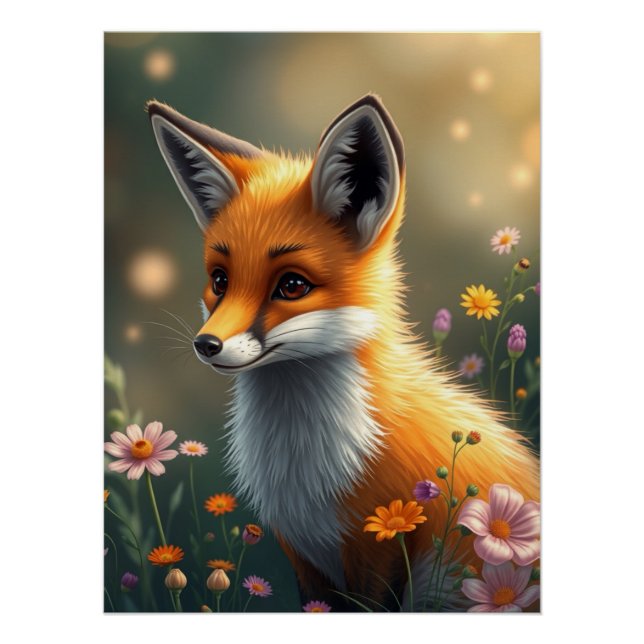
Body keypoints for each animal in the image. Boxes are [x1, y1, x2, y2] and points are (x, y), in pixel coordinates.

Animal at [147, 94, 540, 611]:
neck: (302, 466)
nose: (206, 345)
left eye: (292, 285)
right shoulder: (302, 552)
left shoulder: (385, 536)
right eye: (219, 280)